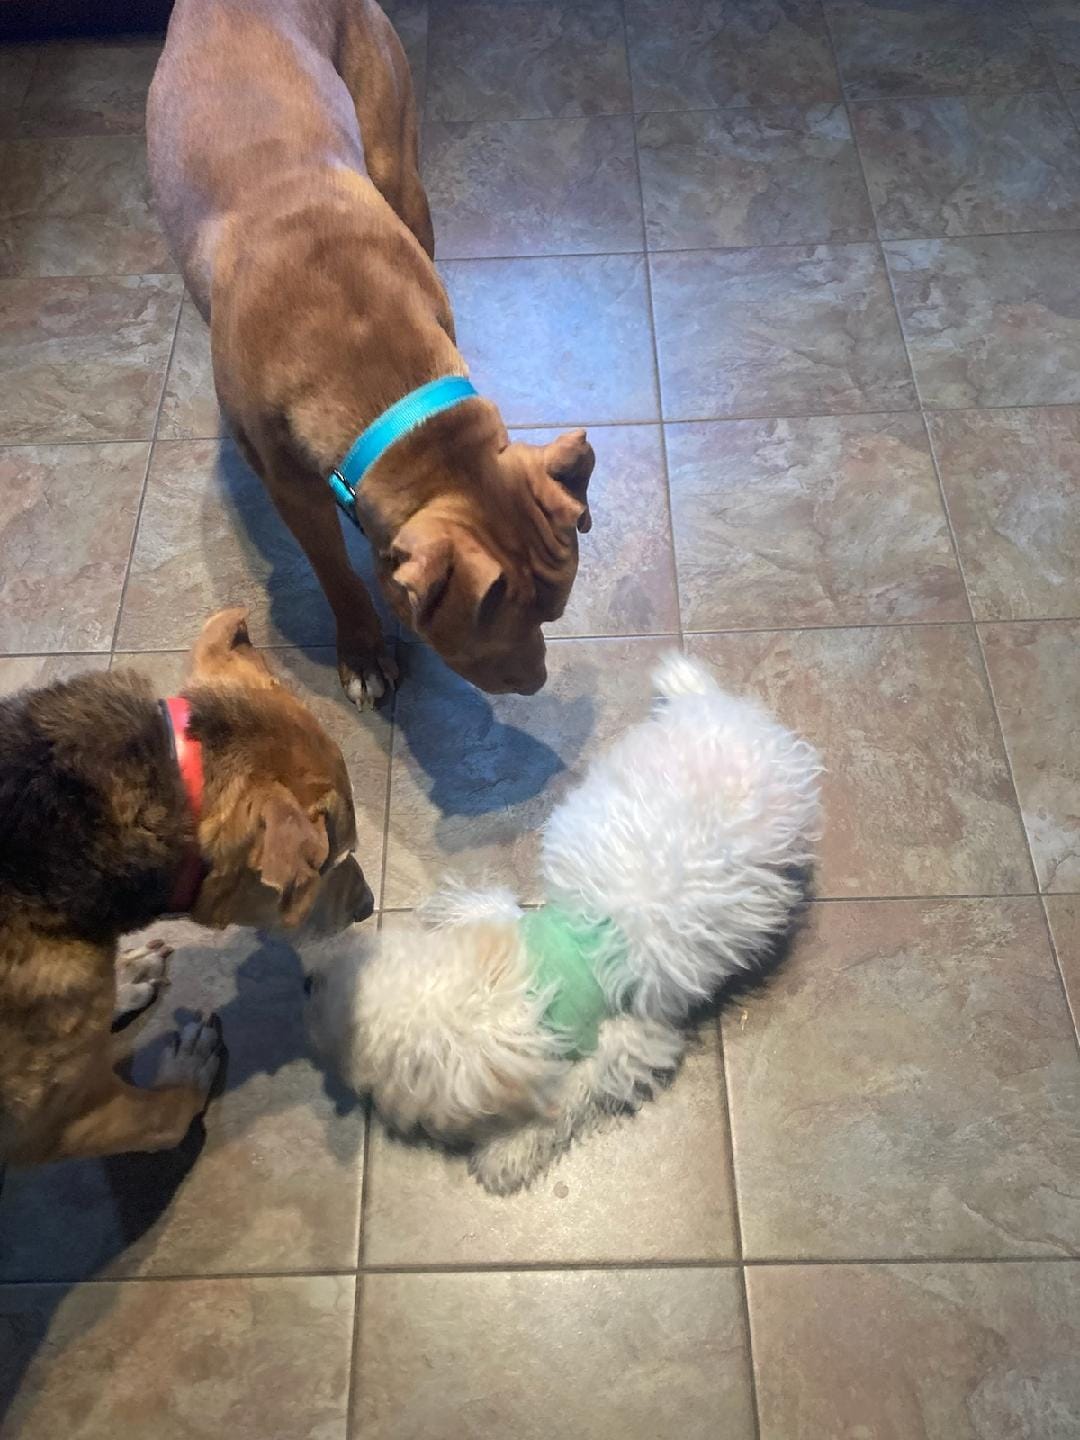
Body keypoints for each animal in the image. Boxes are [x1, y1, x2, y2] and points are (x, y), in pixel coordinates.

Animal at [0, 610, 371, 1169]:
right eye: (332, 859)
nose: (369, 906)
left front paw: (127, 976)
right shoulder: (60, 1123)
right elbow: (167, 1115)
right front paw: (188, 1067)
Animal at [144, 0, 596, 702]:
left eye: (554, 613)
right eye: (486, 634)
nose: (537, 682)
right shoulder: (293, 491)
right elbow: (334, 570)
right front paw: (362, 649)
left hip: (395, 158)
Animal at [305, 656, 817, 1192]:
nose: (307, 981)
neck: (528, 984)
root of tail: (718, 708)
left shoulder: (618, 1043)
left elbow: (563, 1102)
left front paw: (506, 1151)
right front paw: (447, 909)